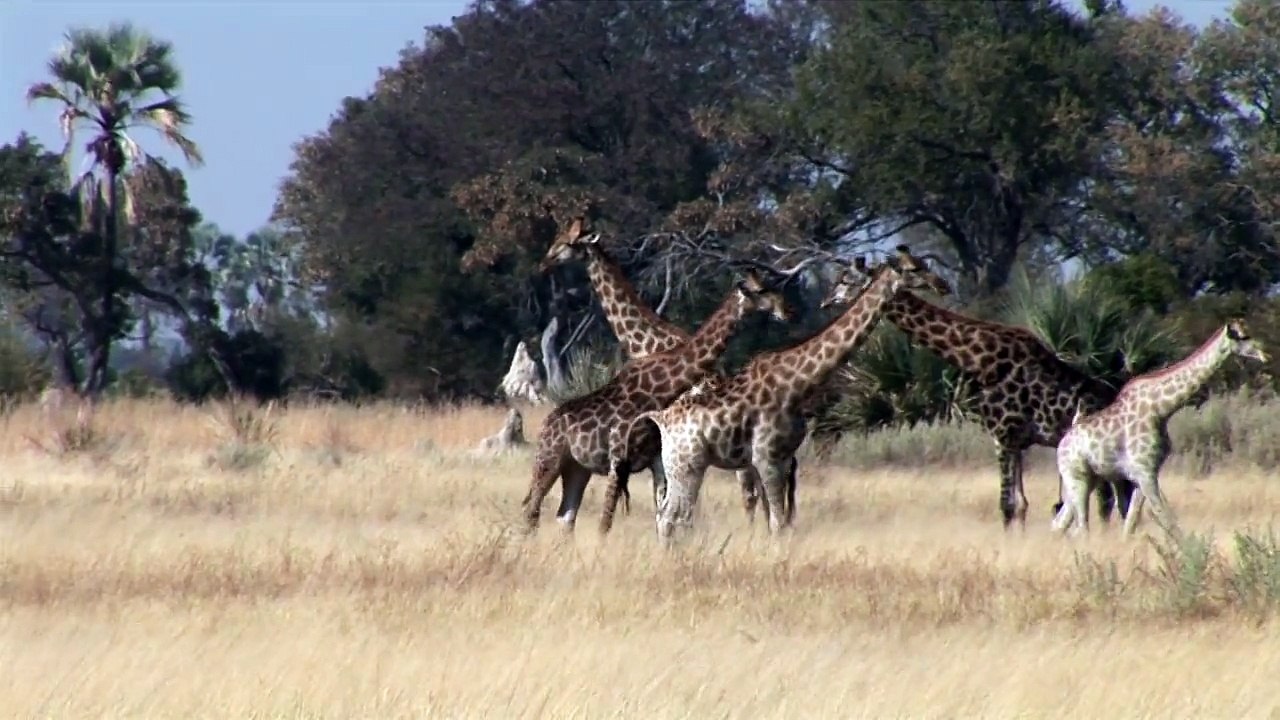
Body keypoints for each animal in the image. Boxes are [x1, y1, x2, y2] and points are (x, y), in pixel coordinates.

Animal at [599, 246, 952, 540]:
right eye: (914, 269)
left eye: (925, 264)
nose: (942, 285)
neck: (797, 383)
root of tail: (660, 419)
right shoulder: (765, 457)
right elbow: (779, 521)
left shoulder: (783, 459)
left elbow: (778, 520)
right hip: (686, 465)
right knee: (671, 517)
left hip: (676, 466)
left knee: (668, 516)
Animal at [1054, 320, 1267, 539]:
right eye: (1243, 337)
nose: (1264, 352)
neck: (1161, 409)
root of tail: (1062, 443)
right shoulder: (1144, 472)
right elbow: (1166, 517)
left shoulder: (1144, 474)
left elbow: (1132, 522)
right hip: (1076, 477)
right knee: (1081, 526)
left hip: (1088, 479)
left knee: (1060, 523)